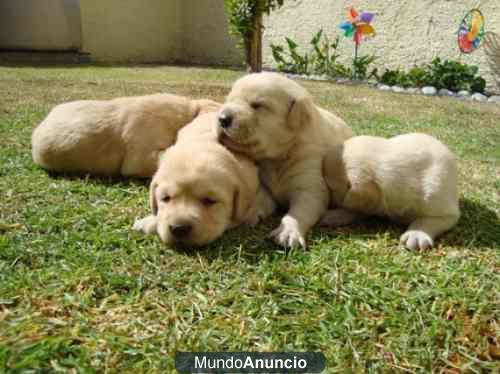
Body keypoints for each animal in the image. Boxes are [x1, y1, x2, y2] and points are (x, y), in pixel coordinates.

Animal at [218, 72, 352, 248]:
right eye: (229, 100)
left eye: (257, 105)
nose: (222, 119)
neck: (277, 157)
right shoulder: (264, 183)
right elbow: (261, 197)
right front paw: (249, 213)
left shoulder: (309, 183)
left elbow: (301, 210)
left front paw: (287, 232)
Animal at [320, 133, 460, 250]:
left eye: (331, 188)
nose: (328, 204)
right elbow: (355, 211)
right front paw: (334, 215)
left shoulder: (443, 209)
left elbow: (425, 220)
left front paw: (416, 234)